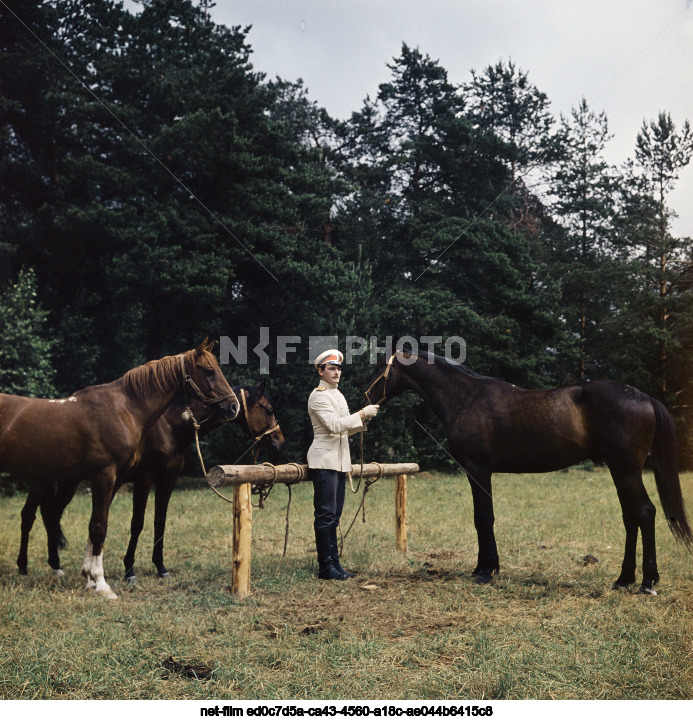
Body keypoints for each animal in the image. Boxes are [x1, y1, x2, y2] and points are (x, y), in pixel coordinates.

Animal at [4, 340, 239, 600]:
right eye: (209, 371)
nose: (233, 406)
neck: (123, 410)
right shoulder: (107, 476)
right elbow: (101, 527)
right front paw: (102, 584)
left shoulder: (116, 480)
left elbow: (97, 524)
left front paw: (89, 578)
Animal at [119, 380, 284, 584]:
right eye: (269, 410)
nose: (280, 442)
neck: (169, 427)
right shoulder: (144, 480)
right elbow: (137, 523)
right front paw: (129, 570)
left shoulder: (168, 479)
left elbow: (160, 521)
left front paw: (160, 566)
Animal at [364, 348, 688, 592]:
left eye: (380, 367)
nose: (365, 397)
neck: (466, 398)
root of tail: (645, 398)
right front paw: (484, 567)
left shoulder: (478, 470)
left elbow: (483, 518)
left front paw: (486, 570)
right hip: (619, 470)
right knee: (631, 517)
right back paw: (624, 580)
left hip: (626, 470)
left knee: (644, 513)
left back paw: (647, 582)